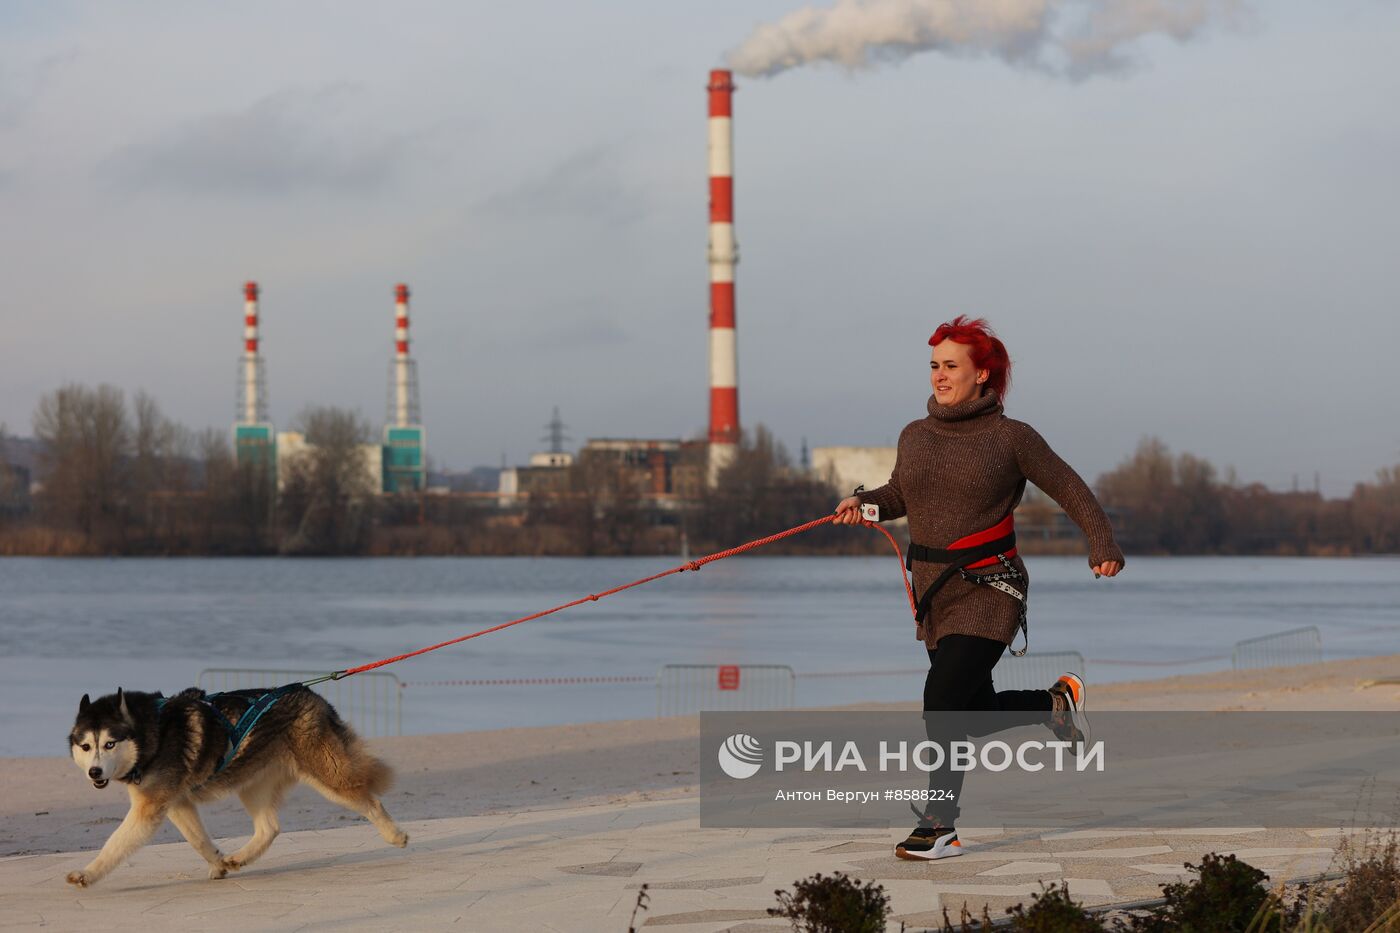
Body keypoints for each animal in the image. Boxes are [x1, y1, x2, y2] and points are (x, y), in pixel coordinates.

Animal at [68, 683, 408, 885]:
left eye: (110, 744)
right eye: (85, 746)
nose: (95, 772)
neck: (153, 732)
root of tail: (312, 695)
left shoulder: (150, 808)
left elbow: (115, 844)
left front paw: (87, 873)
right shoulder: (176, 802)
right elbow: (198, 840)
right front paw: (218, 864)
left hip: (328, 774)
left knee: (370, 800)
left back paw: (395, 835)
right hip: (253, 784)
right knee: (269, 829)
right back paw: (238, 858)